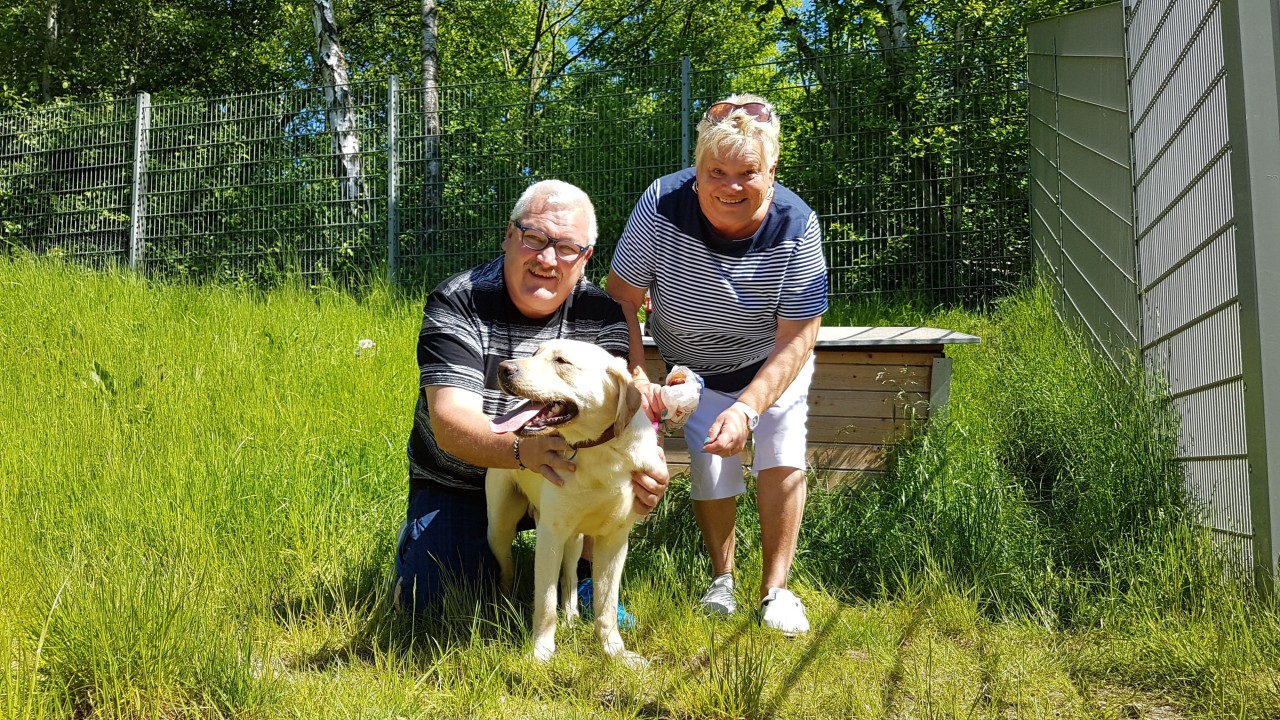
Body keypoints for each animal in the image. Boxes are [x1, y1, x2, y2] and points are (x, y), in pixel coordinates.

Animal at [486, 338, 660, 666]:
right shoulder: (550, 535)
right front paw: (541, 653)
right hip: (500, 525)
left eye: (562, 362)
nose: (503, 368)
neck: (598, 453)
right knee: (507, 568)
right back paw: (504, 601)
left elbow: (606, 606)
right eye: (534, 353)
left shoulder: (615, 539)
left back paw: (571, 616)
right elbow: (544, 605)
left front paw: (615, 651)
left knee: (569, 577)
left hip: (575, 539)